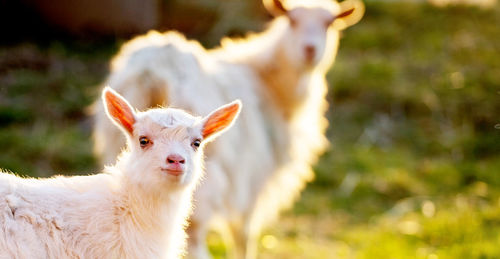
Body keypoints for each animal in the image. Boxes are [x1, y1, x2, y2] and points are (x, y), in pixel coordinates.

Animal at [92, 0, 362, 258]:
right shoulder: (253, 176)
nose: (310, 50)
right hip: (206, 176)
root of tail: (153, 73)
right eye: (292, 21)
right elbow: (244, 233)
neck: (270, 84)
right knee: (195, 234)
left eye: (330, 23)